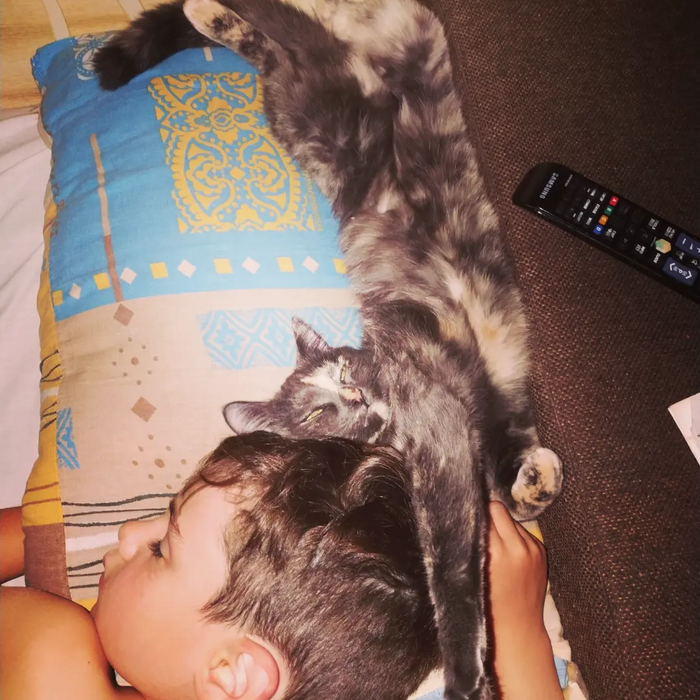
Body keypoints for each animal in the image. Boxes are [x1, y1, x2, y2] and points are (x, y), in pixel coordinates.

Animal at [94, 1, 563, 698]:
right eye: (316, 413)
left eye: (344, 369)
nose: (356, 395)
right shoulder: (458, 429)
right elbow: (473, 533)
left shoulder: (452, 415)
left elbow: (477, 520)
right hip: (308, 108)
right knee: (282, 45)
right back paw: (211, 17)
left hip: (347, 90)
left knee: (298, 31)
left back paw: (213, 14)